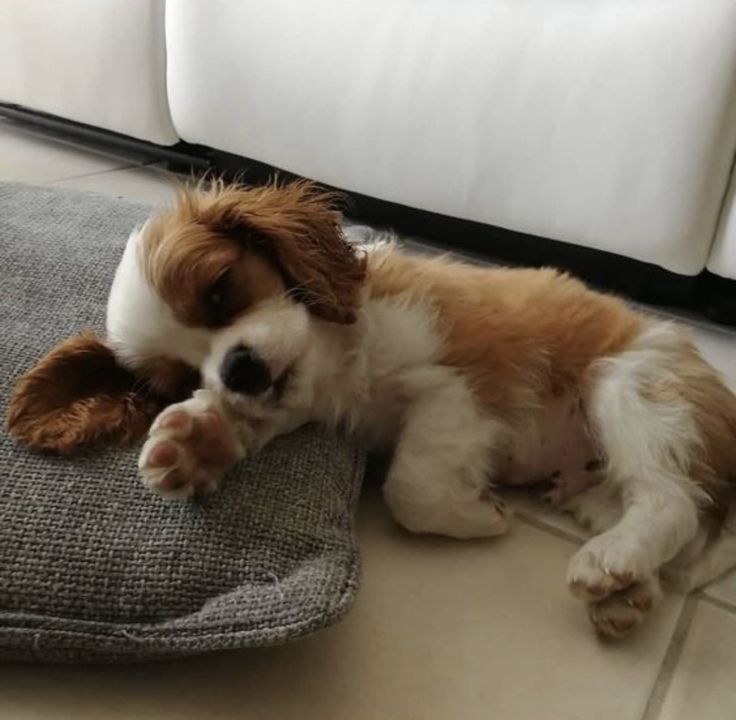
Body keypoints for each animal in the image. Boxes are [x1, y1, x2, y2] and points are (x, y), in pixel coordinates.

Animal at [7, 179, 736, 636]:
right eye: (178, 376)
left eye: (220, 289)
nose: (237, 369)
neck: (339, 353)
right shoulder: (302, 395)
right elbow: (263, 416)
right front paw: (199, 438)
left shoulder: (461, 387)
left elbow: (412, 486)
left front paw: (479, 516)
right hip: (590, 487)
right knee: (663, 517)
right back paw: (629, 591)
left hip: (630, 385)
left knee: (671, 502)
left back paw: (609, 564)